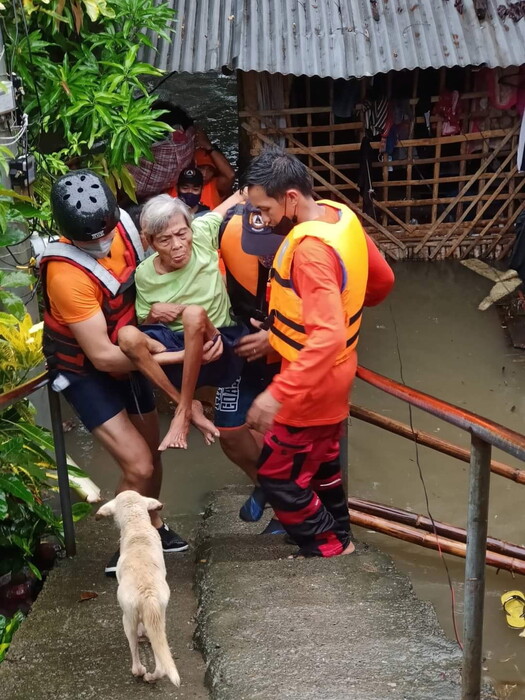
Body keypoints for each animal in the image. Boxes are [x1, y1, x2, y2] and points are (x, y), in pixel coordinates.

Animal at [96, 490, 180, 688]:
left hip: (128, 618)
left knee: (134, 648)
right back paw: (152, 675)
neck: (136, 523)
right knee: (161, 662)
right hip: (160, 618)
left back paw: (139, 671)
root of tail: (148, 595)